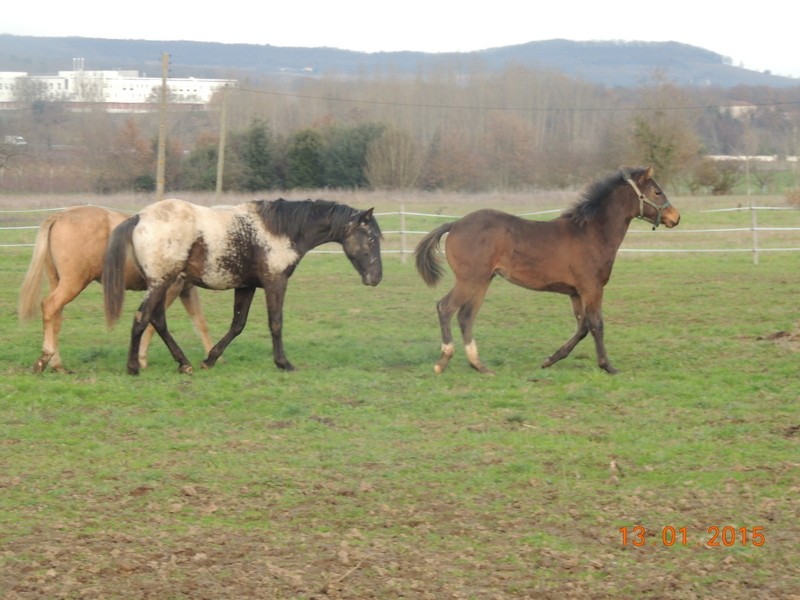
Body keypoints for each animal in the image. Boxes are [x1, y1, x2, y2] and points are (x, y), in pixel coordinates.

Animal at [18, 205, 212, 370]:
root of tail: (59, 216)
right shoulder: (170, 289)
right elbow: (153, 323)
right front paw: (141, 358)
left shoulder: (186, 290)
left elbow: (201, 323)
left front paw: (211, 356)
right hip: (73, 283)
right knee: (50, 307)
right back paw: (46, 357)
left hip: (57, 281)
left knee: (56, 317)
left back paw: (56, 364)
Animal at [102, 197, 382, 376]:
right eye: (370, 238)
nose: (376, 277)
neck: (280, 231)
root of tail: (139, 217)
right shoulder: (275, 282)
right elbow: (275, 323)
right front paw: (283, 363)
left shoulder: (246, 286)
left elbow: (237, 325)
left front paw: (210, 360)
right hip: (162, 283)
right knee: (143, 317)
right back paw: (133, 368)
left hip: (163, 284)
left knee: (157, 319)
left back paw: (184, 364)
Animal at [412, 166, 680, 376]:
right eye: (657, 191)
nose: (675, 217)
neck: (591, 233)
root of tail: (455, 224)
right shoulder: (592, 288)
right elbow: (596, 325)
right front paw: (608, 366)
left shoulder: (576, 293)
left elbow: (582, 328)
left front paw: (550, 359)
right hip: (470, 279)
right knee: (445, 307)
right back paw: (443, 361)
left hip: (483, 281)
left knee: (466, 317)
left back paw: (479, 365)